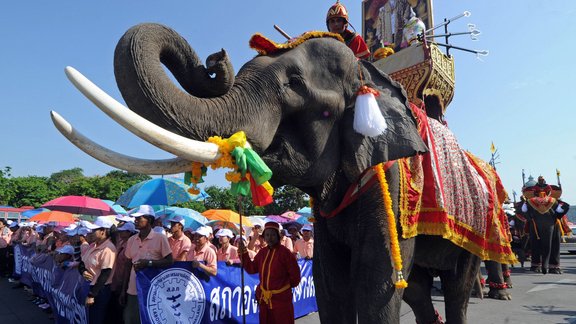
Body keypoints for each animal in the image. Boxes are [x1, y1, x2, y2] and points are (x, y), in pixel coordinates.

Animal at [53, 23, 512, 324]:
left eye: (294, 84)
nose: (214, 59)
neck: (372, 75)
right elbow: (331, 284)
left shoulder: (392, 185)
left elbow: (376, 284)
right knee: (417, 289)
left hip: (482, 229)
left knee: (455, 288)